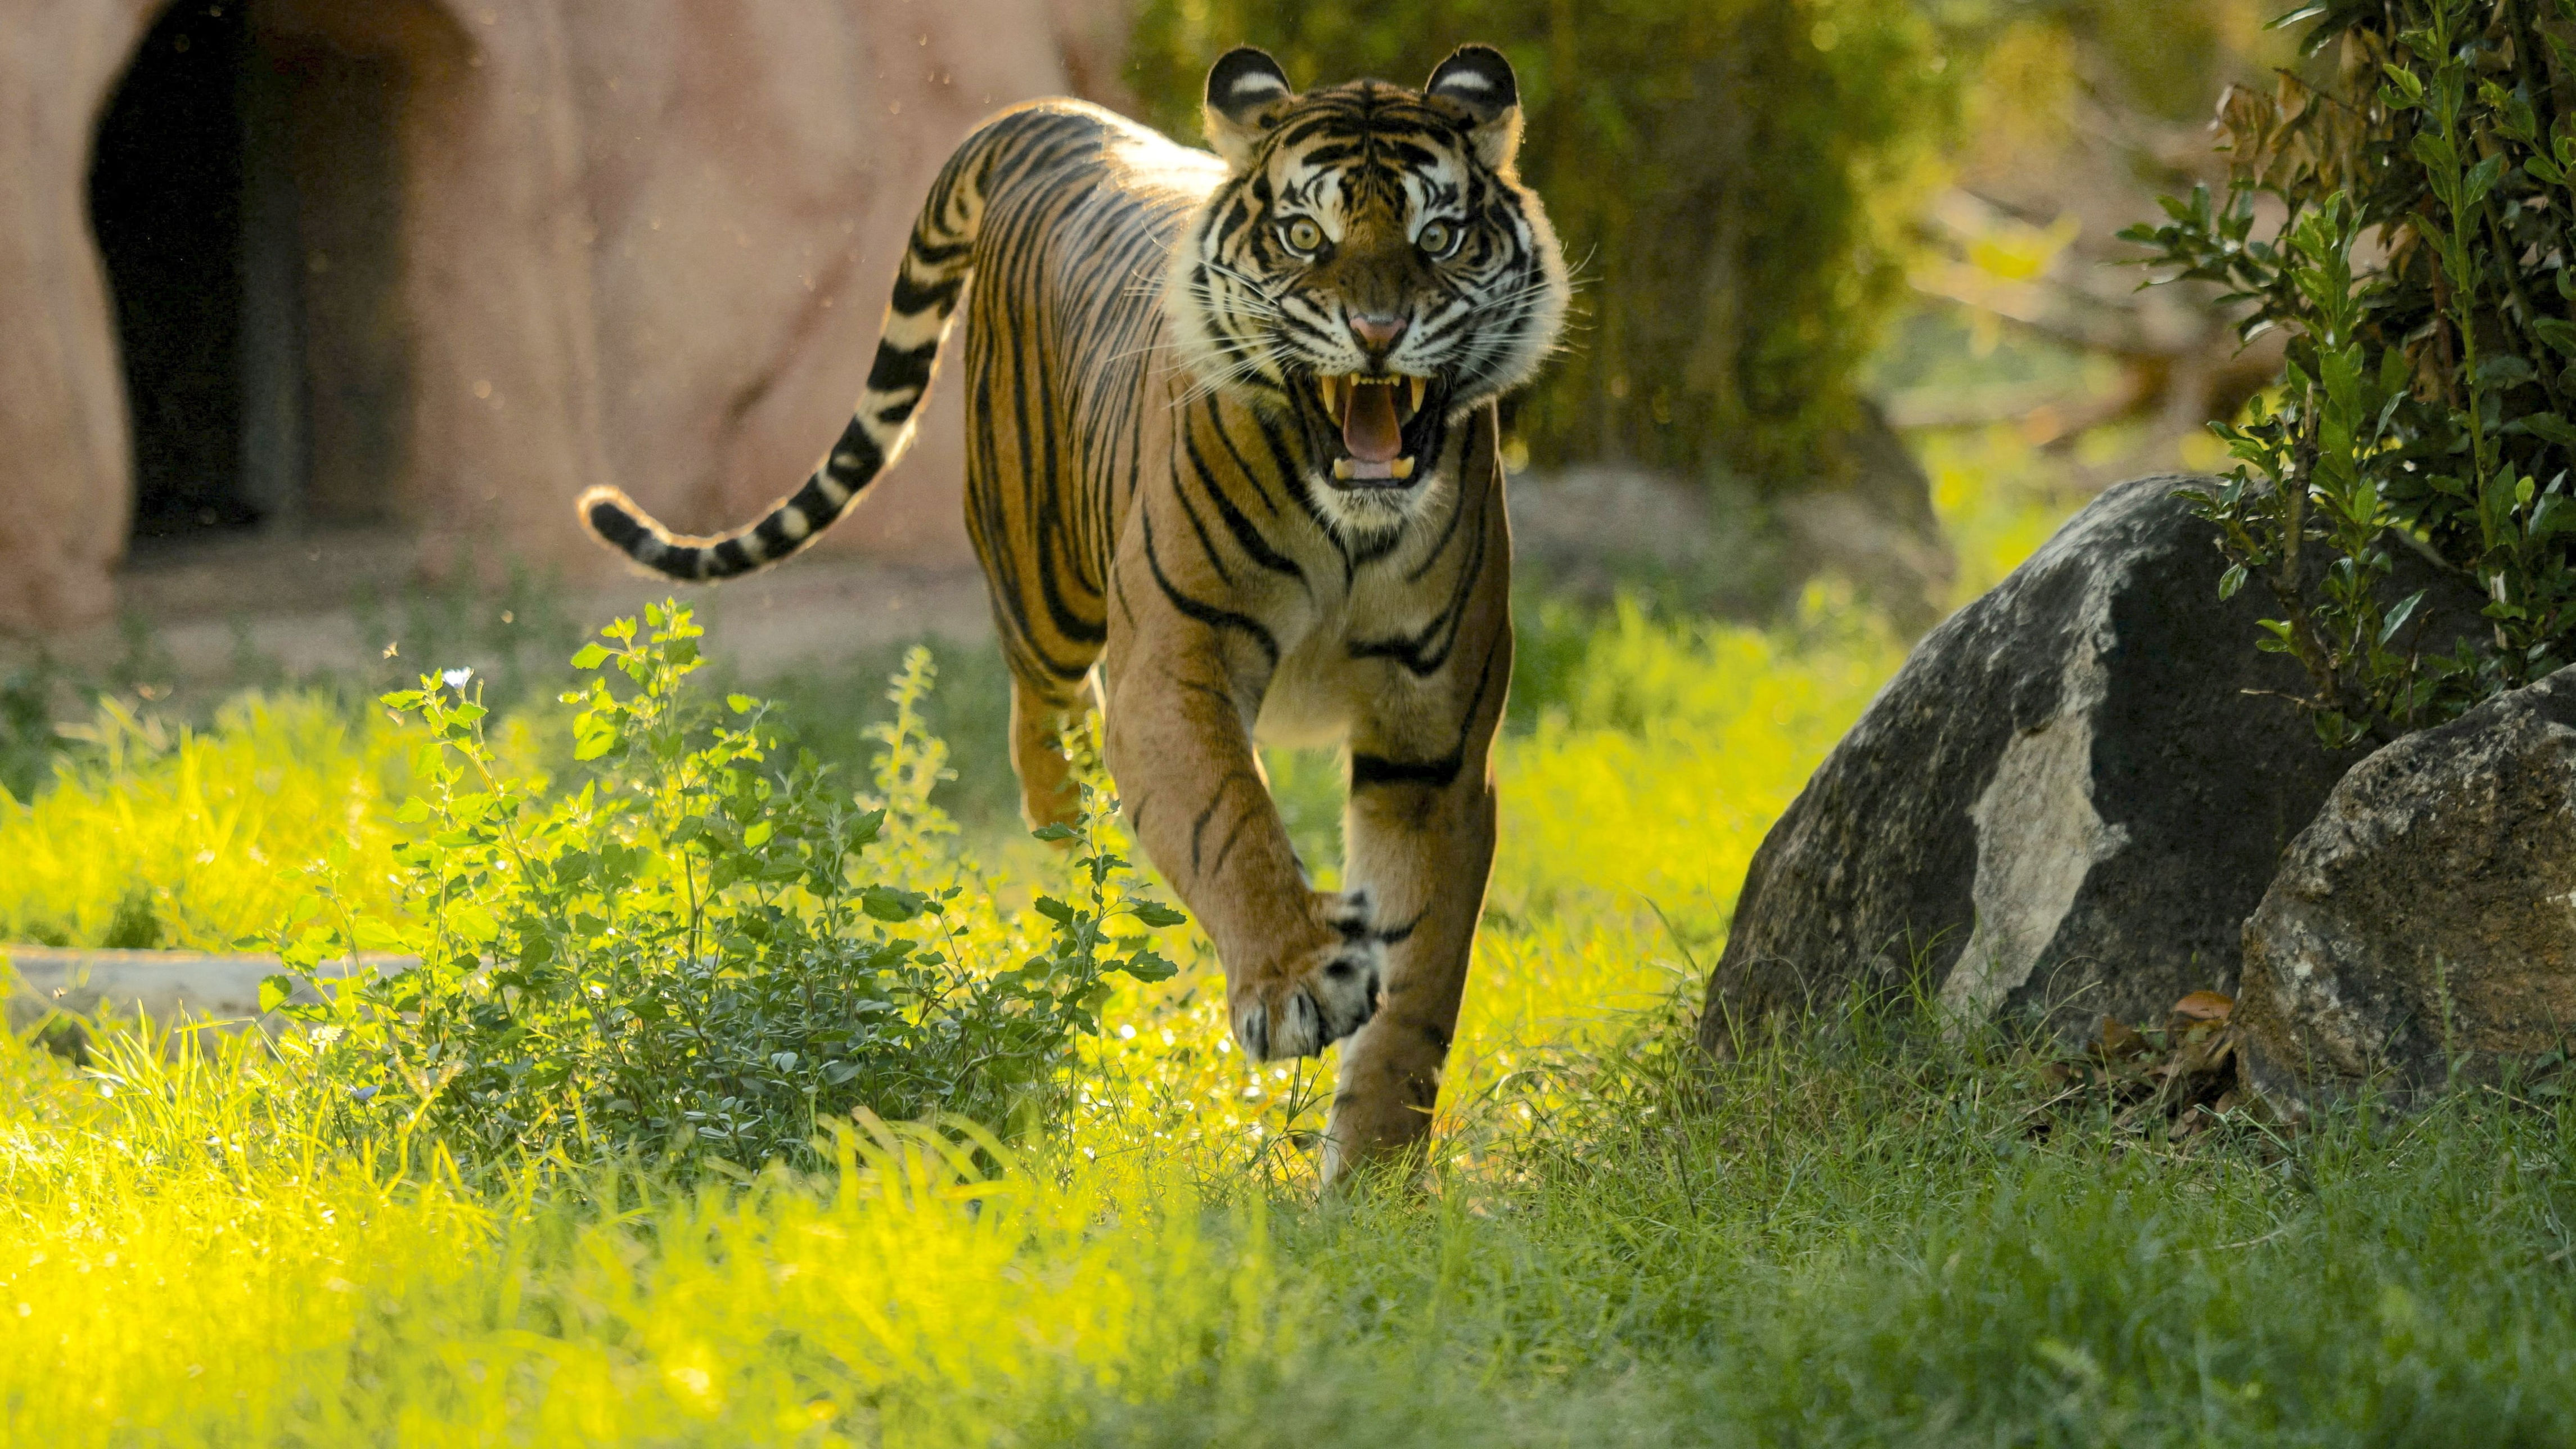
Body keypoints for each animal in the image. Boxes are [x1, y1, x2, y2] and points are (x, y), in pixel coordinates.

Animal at [577, 44, 1569, 1183]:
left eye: (1436, 237)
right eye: (1304, 237)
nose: (1377, 333)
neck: (1353, 526)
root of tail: (1057, 118)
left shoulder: (1433, 749)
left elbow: (1418, 991)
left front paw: (1369, 1181)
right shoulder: (1172, 672)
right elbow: (1231, 821)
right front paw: (1296, 979)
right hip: (1042, 576)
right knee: (1042, 727)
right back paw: (1080, 858)